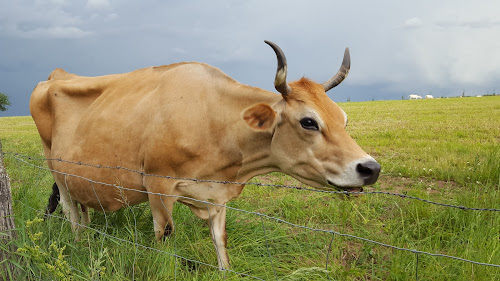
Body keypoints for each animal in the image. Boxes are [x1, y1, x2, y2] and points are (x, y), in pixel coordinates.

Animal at [30, 40, 378, 268]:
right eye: (309, 121)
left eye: (343, 118)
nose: (371, 168)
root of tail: (56, 75)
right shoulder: (157, 184)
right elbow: (164, 238)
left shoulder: (217, 193)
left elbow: (219, 240)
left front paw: (226, 270)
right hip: (54, 168)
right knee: (70, 212)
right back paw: (80, 245)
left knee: (83, 209)